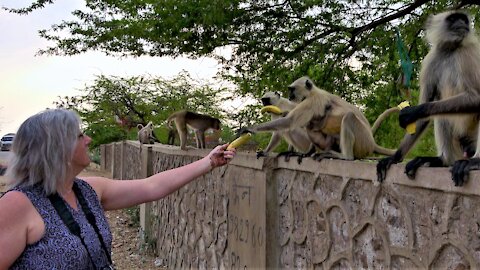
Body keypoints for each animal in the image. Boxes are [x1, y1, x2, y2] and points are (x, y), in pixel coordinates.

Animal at [239, 76, 394, 160]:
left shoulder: (309, 102)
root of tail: (372, 142)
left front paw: (250, 129)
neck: (314, 92)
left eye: (292, 90)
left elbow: (288, 122)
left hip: (362, 141)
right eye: (264, 101)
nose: (289, 95)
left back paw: (345, 156)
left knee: (348, 117)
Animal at [376, 10, 480, 187]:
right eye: (453, 18)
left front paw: (413, 112)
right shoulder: (432, 60)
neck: (451, 50)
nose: (462, 23)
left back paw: (476, 162)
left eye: (463, 19)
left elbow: (476, 98)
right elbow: (425, 110)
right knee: (442, 116)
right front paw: (394, 157)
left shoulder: (468, 53)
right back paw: (443, 161)